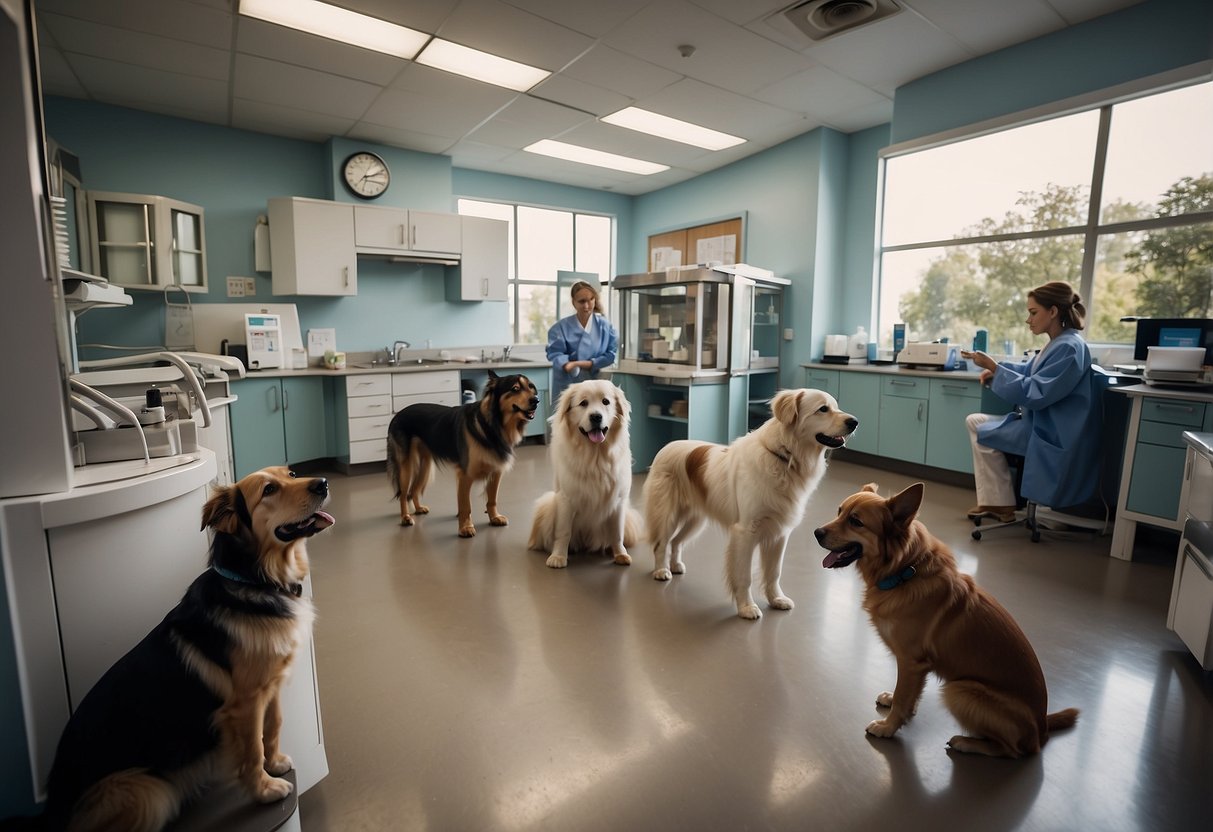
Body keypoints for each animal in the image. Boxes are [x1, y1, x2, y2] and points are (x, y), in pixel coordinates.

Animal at [43, 470, 334, 832]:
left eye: (291, 474)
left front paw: (276, 762)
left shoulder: (270, 686)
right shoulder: (244, 704)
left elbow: (274, 726)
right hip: (150, 794)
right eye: (269, 490)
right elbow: (252, 749)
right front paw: (264, 789)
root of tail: (53, 805)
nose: (322, 482)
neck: (256, 581)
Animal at [388, 371, 540, 540]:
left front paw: (494, 517)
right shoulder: (465, 474)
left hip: (425, 464)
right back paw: (405, 517)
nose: (536, 400)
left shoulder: (496, 471)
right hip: (406, 466)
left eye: (531, 387)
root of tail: (397, 415)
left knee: (414, 489)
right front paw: (465, 527)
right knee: (403, 494)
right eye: (515, 388)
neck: (492, 425)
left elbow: (492, 499)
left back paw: (419, 508)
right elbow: (466, 505)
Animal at [528, 380, 645, 570]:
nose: (596, 417)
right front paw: (558, 557)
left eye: (606, 402)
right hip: (548, 505)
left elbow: (617, 533)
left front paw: (620, 554)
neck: (595, 457)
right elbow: (563, 532)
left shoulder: (619, 502)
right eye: (583, 403)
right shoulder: (566, 499)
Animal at [640, 390, 858, 618]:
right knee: (661, 543)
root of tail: (666, 447)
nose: (855, 422)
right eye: (823, 409)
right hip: (667, 515)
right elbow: (744, 575)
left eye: (836, 406)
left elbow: (774, 573)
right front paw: (746, 607)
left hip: (696, 520)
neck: (784, 458)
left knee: (676, 542)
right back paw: (661, 570)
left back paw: (675, 566)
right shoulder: (746, 532)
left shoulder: (779, 534)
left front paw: (776, 599)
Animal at [815, 482, 1081, 761]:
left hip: (960, 691)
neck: (905, 572)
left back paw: (967, 743)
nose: (816, 532)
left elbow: (902, 697)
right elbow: (906, 695)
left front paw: (888, 727)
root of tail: (1042, 729)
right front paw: (899, 706)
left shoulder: (911, 661)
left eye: (856, 521)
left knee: (1012, 750)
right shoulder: (916, 667)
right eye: (840, 511)